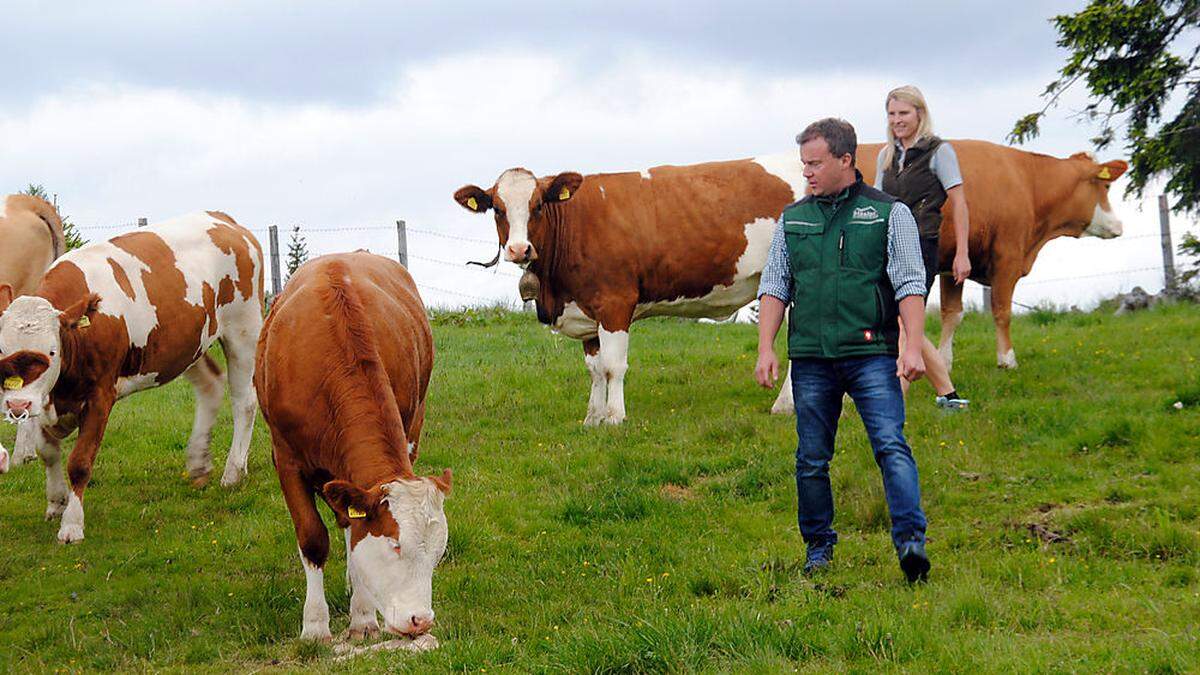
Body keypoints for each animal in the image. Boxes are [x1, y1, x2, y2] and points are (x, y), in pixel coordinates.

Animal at [0, 210, 262, 540]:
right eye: (2, 349)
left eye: (51, 352)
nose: (16, 406)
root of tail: (222, 218)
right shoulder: (45, 401)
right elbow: (48, 452)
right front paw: (56, 502)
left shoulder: (100, 396)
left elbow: (80, 462)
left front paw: (72, 524)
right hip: (185, 343)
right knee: (211, 385)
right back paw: (199, 462)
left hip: (244, 330)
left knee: (244, 403)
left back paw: (233, 471)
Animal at [453, 140, 1128, 420]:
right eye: (496, 207)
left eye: (540, 202)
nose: (519, 247)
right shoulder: (587, 311)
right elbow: (594, 369)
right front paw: (593, 419)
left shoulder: (617, 300)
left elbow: (616, 367)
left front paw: (616, 420)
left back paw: (793, 406)